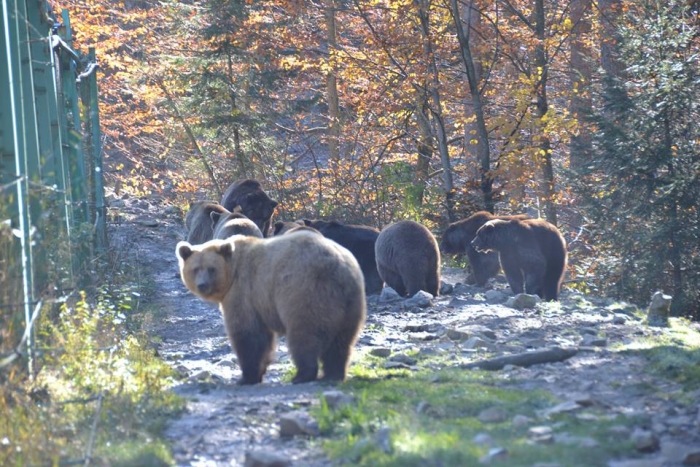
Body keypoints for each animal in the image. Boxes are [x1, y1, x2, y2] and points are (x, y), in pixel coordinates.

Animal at [175, 232, 366, 386]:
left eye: (211, 269)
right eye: (196, 269)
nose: (202, 285)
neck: (233, 271)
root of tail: (338, 266)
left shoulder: (244, 291)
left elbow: (248, 335)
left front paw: (246, 377)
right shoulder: (259, 301)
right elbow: (263, 339)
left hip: (305, 291)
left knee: (305, 334)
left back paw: (302, 375)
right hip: (351, 302)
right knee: (341, 341)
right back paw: (333, 374)